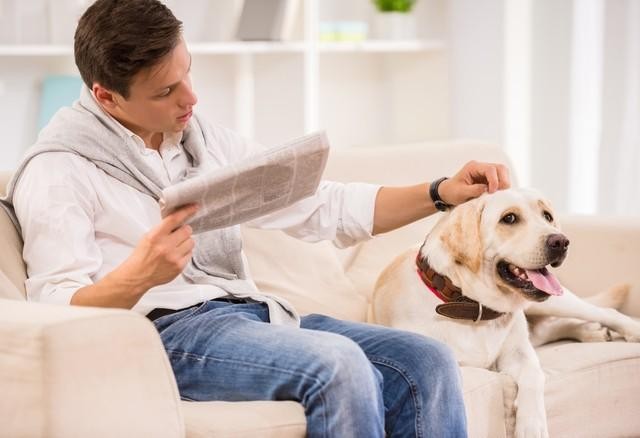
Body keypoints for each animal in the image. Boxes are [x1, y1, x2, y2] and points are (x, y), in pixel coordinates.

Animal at [368, 187, 640, 438]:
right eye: (509, 218)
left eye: (547, 216)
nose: (561, 241)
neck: (473, 306)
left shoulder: (519, 354)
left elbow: (534, 374)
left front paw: (532, 425)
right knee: (548, 328)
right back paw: (592, 332)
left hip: (555, 302)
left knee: (602, 311)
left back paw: (625, 329)